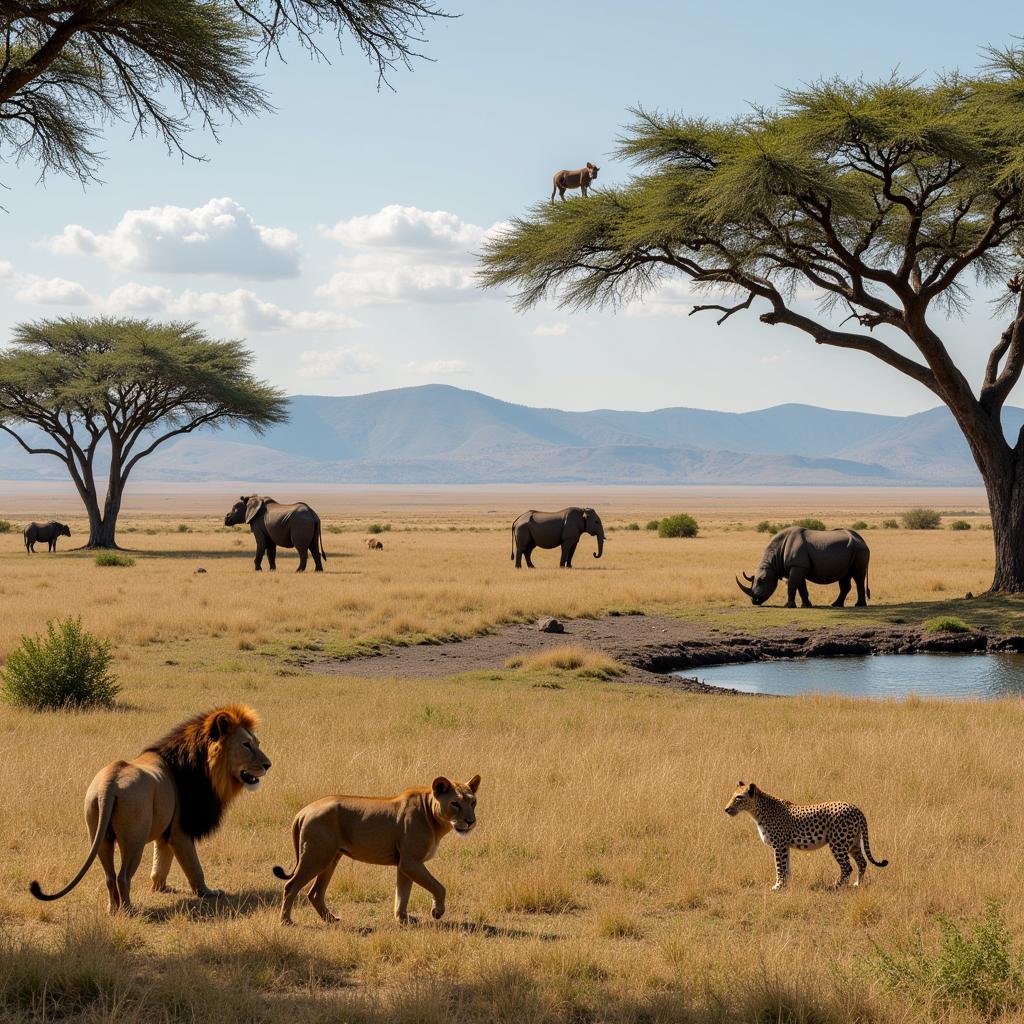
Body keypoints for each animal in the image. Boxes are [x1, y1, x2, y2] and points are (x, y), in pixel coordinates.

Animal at [31, 704, 270, 913]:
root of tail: (110, 781)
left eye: (257, 742)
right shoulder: (180, 832)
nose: (268, 765)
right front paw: (208, 892)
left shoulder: (166, 830)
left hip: (99, 834)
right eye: (246, 744)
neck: (203, 768)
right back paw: (128, 910)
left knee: (109, 876)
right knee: (123, 876)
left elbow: (162, 861)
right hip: (134, 839)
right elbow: (194, 867)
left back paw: (112, 909)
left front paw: (160, 887)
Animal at [272, 770, 479, 925]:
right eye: (455, 803)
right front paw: (437, 912)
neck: (433, 817)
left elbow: (402, 894)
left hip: (330, 859)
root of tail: (303, 811)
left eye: (473, 802)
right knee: (291, 886)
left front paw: (402, 919)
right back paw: (286, 921)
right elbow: (439, 887)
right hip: (316, 856)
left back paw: (331, 919)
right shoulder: (411, 861)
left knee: (315, 893)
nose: (471, 821)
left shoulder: (405, 864)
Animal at [720, 782, 888, 888]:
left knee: (847, 867)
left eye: (739, 797)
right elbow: (786, 867)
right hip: (853, 843)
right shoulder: (785, 846)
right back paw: (857, 884)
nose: (726, 809)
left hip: (838, 844)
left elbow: (779, 867)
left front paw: (777, 886)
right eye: (733, 795)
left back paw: (835, 886)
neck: (757, 811)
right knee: (862, 862)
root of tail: (855, 807)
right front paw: (785, 886)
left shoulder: (779, 845)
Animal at [737, 528, 872, 606]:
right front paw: (806, 605)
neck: (773, 563)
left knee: (858, 576)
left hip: (859, 549)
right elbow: (801, 587)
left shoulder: (797, 565)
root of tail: (863, 541)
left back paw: (859, 605)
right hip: (851, 551)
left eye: (762, 581)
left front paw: (789, 606)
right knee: (845, 576)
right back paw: (836, 604)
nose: (754, 601)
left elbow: (792, 585)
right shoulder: (800, 566)